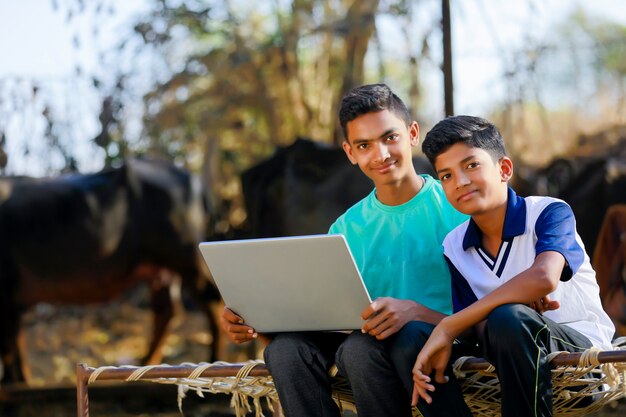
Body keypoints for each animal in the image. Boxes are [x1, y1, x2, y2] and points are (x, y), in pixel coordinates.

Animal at [0, 158, 219, 384]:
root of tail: (193, 180)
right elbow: (15, 343)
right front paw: (19, 379)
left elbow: (8, 345)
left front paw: (12, 381)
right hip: (163, 271)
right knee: (166, 311)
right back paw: (147, 362)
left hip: (188, 259)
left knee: (211, 301)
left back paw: (213, 359)